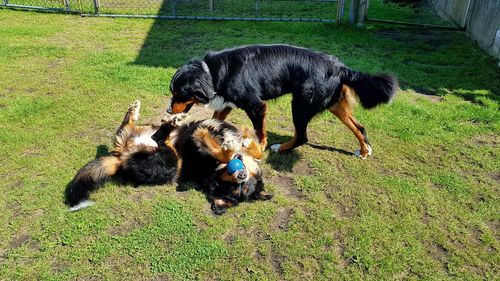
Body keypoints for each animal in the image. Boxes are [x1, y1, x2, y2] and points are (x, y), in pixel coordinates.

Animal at [66, 99, 272, 213]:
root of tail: (120, 160)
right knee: (130, 129)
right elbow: (255, 149)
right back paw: (142, 112)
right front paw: (244, 144)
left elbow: (226, 151)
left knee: (157, 139)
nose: (241, 175)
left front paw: (225, 145)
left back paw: (172, 122)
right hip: (147, 132)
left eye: (240, 189)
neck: (215, 170)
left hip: (170, 161)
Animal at [168, 43, 398, 158]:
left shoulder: (256, 105)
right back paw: (364, 151)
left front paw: (259, 148)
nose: (169, 111)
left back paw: (281, 148)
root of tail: (339, 66)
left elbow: (260, 132)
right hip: (334, 104)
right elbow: (213, 121)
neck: (213, 72)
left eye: (178, 94)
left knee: (302, 136)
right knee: (359, 127)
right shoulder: (225, 104)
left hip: (301, 104)